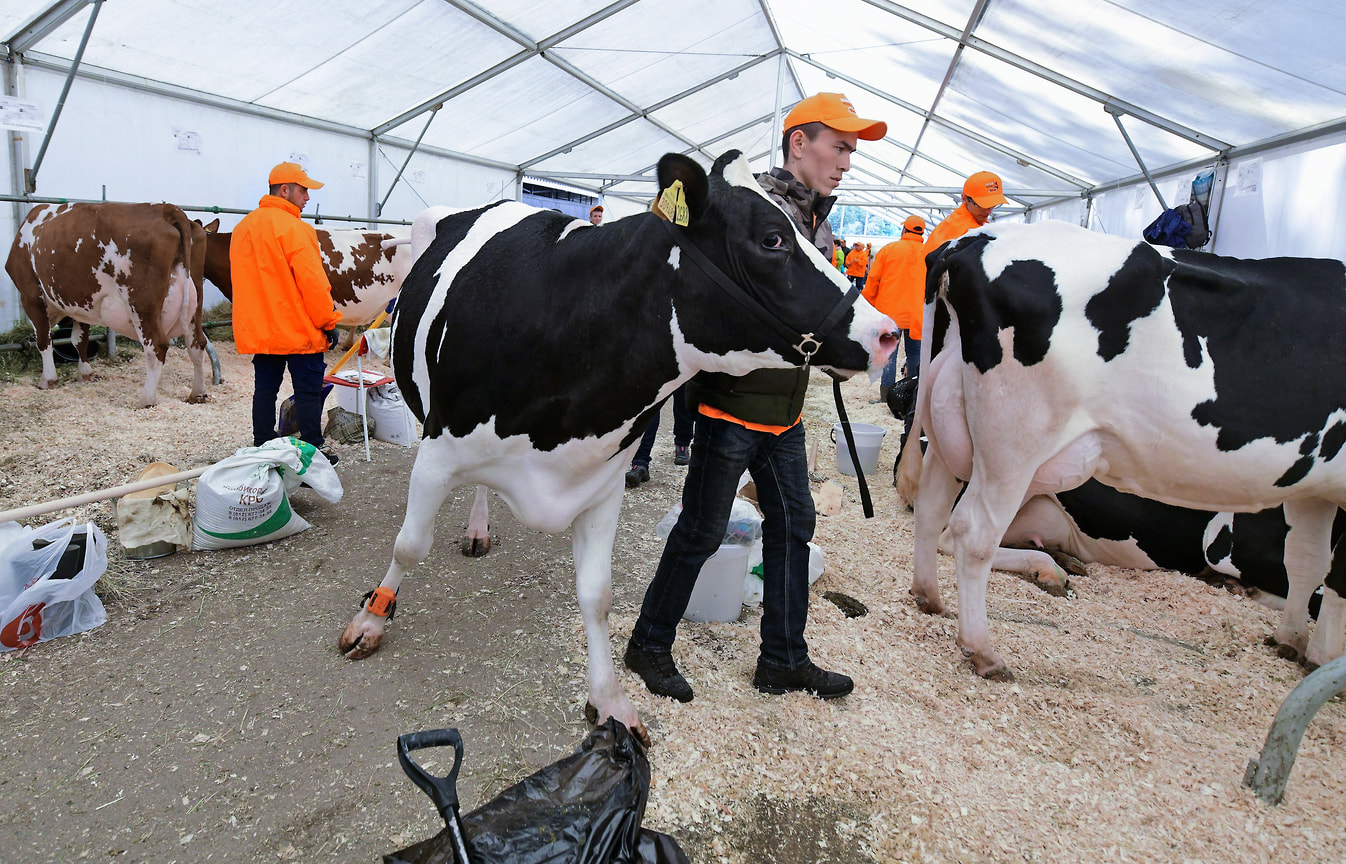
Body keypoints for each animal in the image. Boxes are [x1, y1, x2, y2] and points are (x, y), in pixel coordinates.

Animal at [5, 203, 209, 406]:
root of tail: (166, 209)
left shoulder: (30, 293)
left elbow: (44, 340)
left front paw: (48, 380)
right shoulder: (83, 304)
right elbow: (79, 339)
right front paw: (85, 374)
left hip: (141, 304)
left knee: (156, 347)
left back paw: (145, 400)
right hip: (195, 300)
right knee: (197, 343)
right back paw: (197, 393)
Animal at [335, 149, 899, 742]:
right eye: (772, 239)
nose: (888, 333)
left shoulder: (602, 482)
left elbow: (597, 595)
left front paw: (609, 700)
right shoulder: (440, 450)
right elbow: (408, 545)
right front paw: (371, 618)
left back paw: (477, 527)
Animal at [893, 222, 1346, 678]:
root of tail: (976, 238)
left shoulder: (1313, 489)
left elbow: (1306, 560)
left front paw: (1291, 641)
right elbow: (1334, 579)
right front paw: (1322, 660)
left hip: (949, 422)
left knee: (932, 509)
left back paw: (933, 597)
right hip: (1015, 441)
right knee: (972, 532)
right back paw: (984, 648)